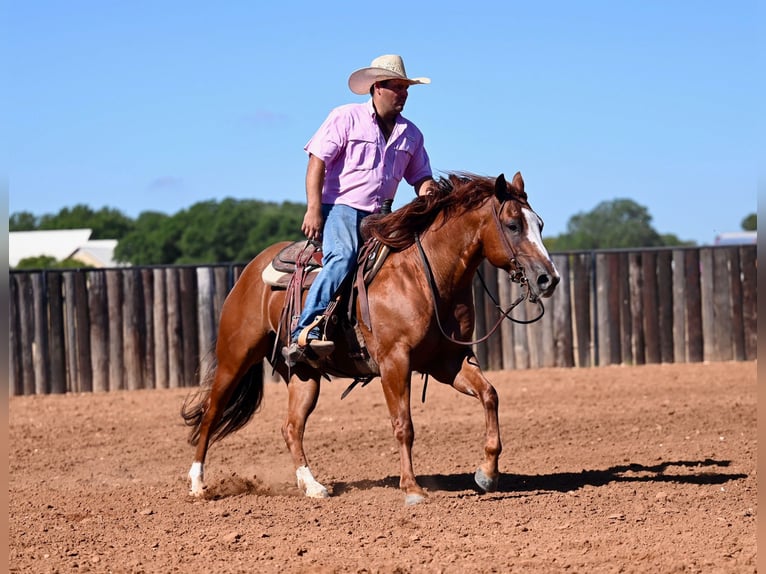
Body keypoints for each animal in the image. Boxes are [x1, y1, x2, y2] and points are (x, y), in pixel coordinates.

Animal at [183, 172, 560, 508]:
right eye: (513, 225)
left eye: (540, 225)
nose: (549, 278)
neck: (425, 276)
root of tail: (249, 270)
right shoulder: (395, 362)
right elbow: (403, 425)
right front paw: (412, 488)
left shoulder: (448, 362)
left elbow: (490, 395)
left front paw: (487, 473)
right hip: (235, 356)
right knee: (211, 413)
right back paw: (198, 484)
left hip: (304, 374)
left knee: (291, 427)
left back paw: (312, 486)